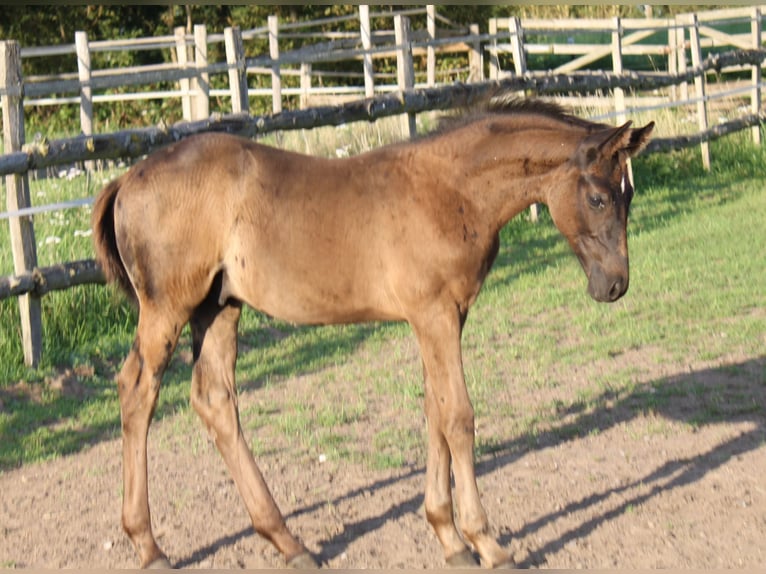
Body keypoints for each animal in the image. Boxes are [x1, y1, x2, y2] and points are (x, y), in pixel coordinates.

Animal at [90, 97, 656, 568]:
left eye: (629, 196)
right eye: (599, 199)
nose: (615, 285)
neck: (449, 190)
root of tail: (128, 178)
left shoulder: (443, 316)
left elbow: (434, 410)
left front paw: (448, 538)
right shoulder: (435, 314)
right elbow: (458, 417)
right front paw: (487, 543)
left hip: (219, 306)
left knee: (214, 399)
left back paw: (287, 541)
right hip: (168, 306)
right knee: (137, 389)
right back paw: (148, 546)